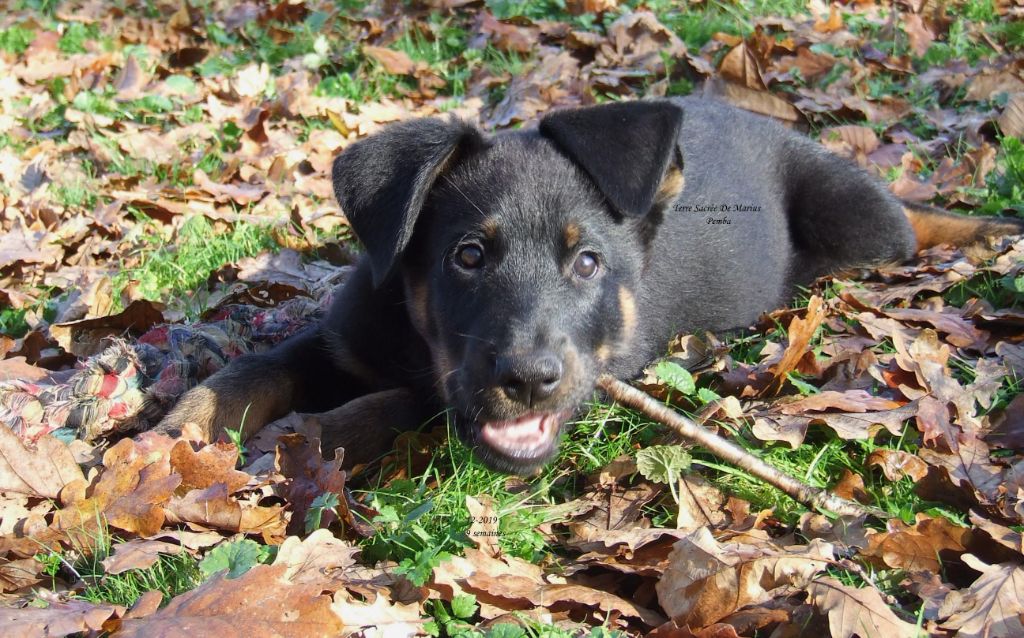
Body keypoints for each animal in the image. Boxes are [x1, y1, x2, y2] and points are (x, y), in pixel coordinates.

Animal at [153, 96, 1024, 475]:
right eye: (467, 256)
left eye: (587, 263)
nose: (530, 380)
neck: (413, 337)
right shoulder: (344, 333)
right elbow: (253, 367)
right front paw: (177, 430)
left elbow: (410, 401)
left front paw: (312, 434)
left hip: (862, 221)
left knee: (910, 216)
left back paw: (983, 229)